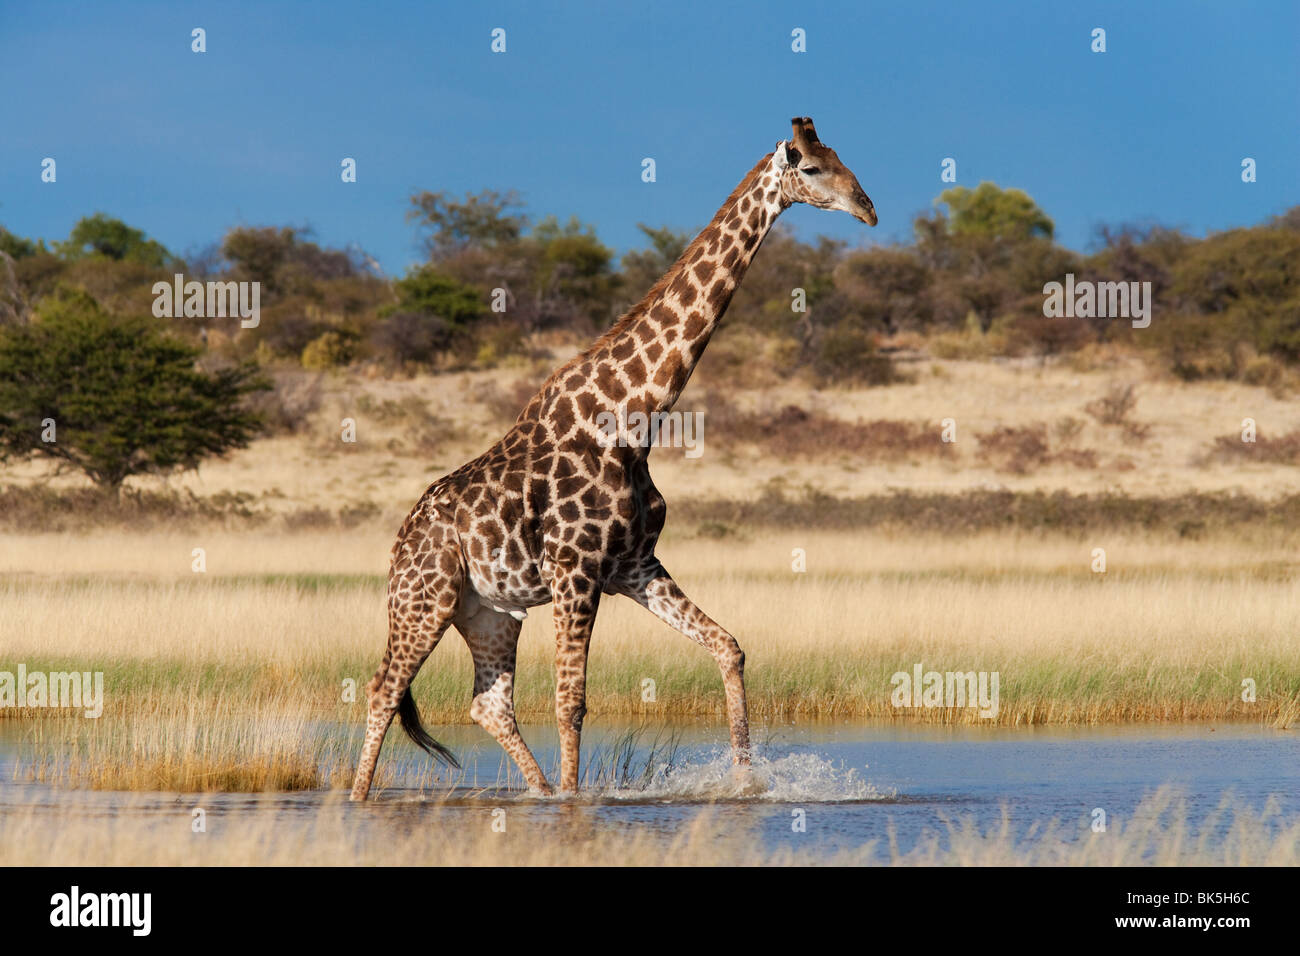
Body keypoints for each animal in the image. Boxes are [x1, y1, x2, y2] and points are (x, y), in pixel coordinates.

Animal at [351, 115, 878, 801]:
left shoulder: (632, 564)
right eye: (812, 168)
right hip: (426, 598)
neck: (636, 416)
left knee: (488, 704)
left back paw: (538, 790)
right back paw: (357, 799)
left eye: (842, 158)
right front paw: (576, 803)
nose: (867, 208)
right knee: (384, 689)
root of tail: (398, 543)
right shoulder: (575, 570)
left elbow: (728, 647)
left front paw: (745, 780)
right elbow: (571, 703)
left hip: (491, 612)